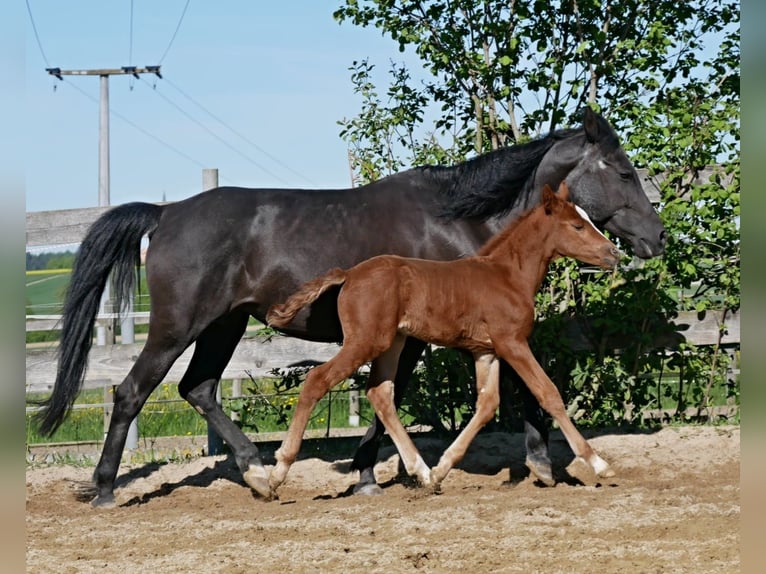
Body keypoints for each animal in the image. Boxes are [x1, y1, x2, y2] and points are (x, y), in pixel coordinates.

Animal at [268, 184, 620, 500]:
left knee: (380, 394)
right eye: (577, 225)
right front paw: (599, 464)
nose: (614, 253)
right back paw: (275, 475)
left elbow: (487, 405)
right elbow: (548, 393)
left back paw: (422, 472)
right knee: (317, 379)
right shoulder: (512, 342)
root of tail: (350, 274)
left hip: (392, 343)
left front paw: (441, 470)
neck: (508, 276)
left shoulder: (486, 352)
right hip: (365, 341)